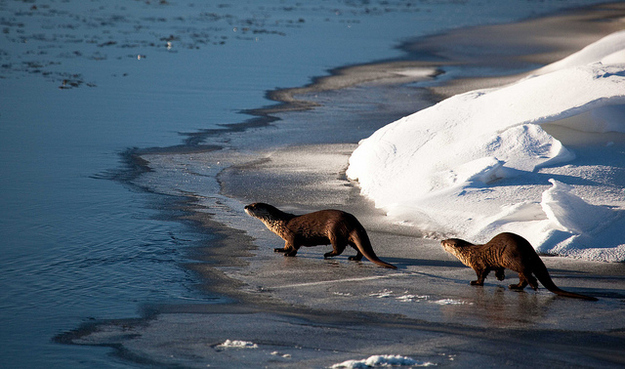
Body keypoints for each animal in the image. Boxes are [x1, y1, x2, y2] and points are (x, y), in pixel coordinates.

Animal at [243, 203, 394, 268]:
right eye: (250, 203)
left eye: (254, 205)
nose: (245, 206)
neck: (279, 223)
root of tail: (354, 220)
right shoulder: (286, 237)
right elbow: (286, 245)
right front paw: (280, 249)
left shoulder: (292, 234)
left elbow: (295, 246)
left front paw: (289, 254)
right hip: (349, 236)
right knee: (358, 248)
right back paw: (353, 257)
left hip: (334, 231)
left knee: (339, 248)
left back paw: (327, 254)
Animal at [442, 231, 596, 300]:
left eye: (446, 243)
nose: (441, 241)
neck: (468, 254)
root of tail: (530, 249)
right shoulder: (496, 263)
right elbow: (498, 270)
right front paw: (500, 278)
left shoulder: (479, 264)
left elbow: (481, 275)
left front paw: (475, 282)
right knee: (523, 277)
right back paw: (514, 286)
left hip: (511, 258)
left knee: (527, 273)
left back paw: (534, 285)